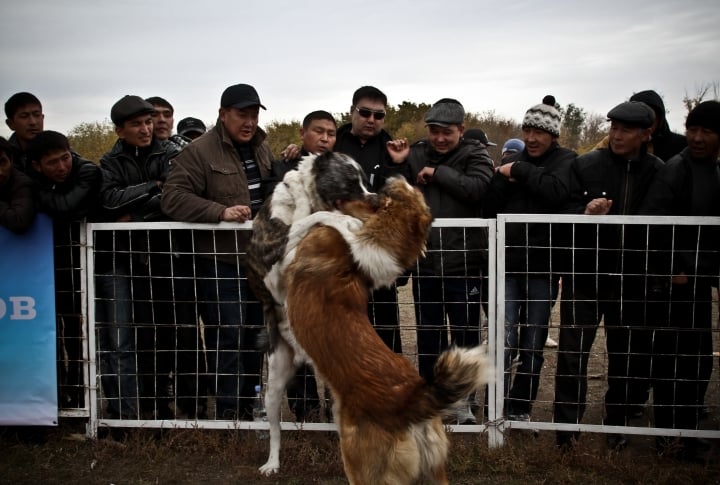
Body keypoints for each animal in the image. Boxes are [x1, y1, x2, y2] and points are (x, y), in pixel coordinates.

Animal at [258, 178, 490, 484]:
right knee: (275, 431)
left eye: (386, 197)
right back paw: (272, 464)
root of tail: (411, 399)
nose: (393, 178)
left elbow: (308, 219)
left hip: (360, 466)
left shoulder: (281, 270)